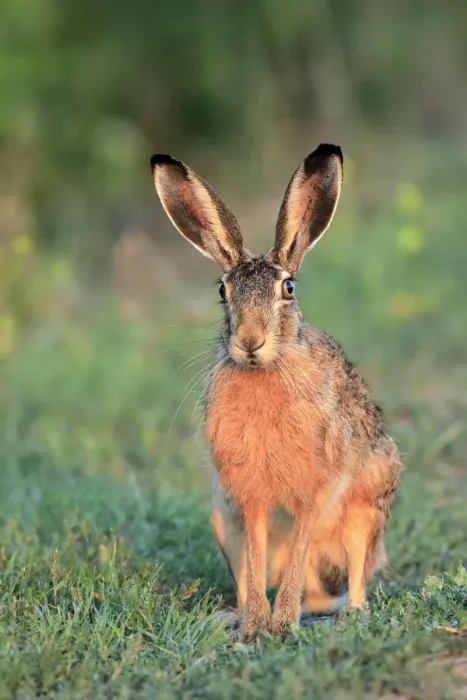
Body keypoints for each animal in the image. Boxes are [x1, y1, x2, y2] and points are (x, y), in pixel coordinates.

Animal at [150, 144, 403, 642]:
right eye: (223, 290)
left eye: (287, 288)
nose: (250, 341)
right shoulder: (249, 500)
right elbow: (254, 557)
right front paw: (256, 626)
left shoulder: (314, 488)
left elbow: (301, 538)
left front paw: (282, 624)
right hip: (221, 518)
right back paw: (237, 617)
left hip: (365, 512)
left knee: (355, 576)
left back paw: (344, 614)